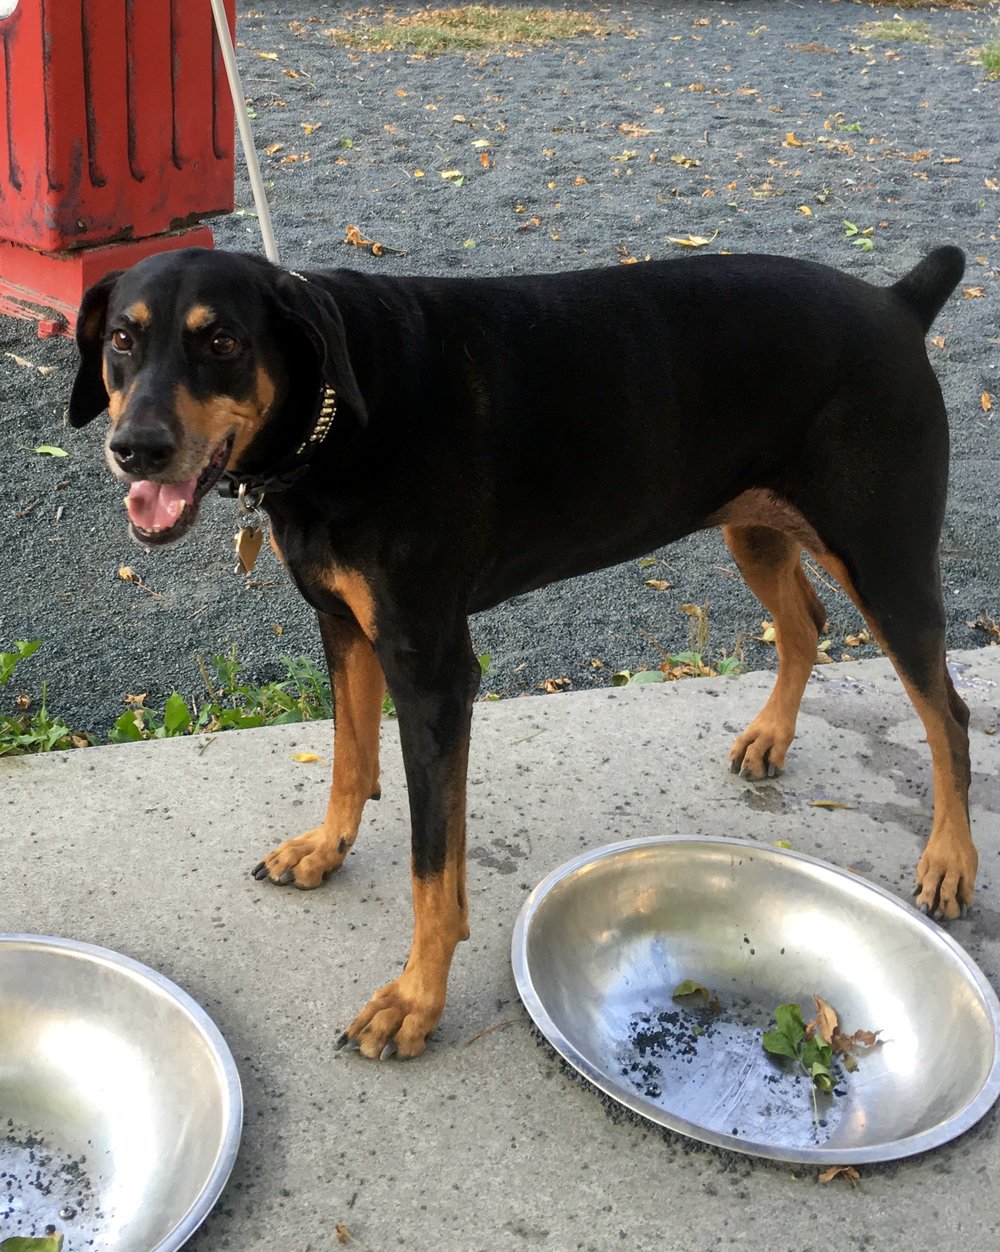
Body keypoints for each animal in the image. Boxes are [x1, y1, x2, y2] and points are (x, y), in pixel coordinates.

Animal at [66, 241, 976, 1056]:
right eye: (123, 339)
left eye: (222, 341)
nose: (136, 449)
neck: (340, 410)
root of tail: (897, 302)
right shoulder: (344, 625)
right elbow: (350, 760)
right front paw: (326, 849)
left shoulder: (432, 671)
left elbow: (433, 866)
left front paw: (415, 1000)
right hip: (755, 524)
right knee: (806, 625)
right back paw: (771, 736)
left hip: (886, 561)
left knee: (949, 714)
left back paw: (950, 859)